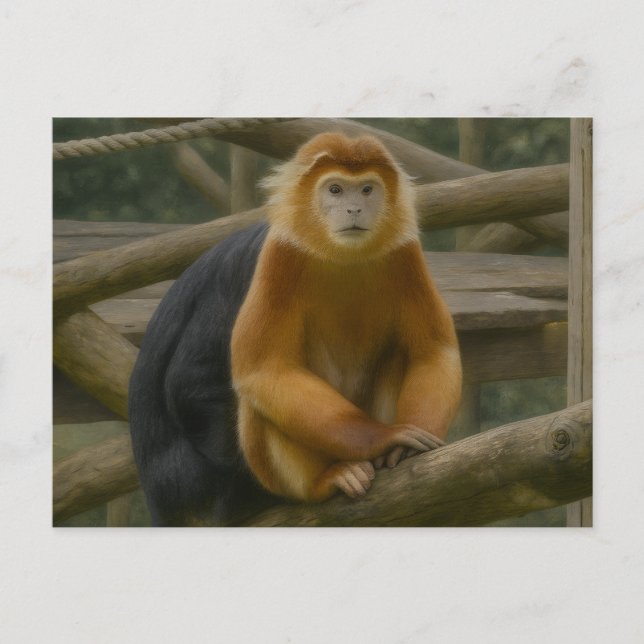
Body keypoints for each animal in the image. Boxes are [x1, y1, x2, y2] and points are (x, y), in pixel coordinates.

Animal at [128, 132, 461, 526]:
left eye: (367, 190)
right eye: (335, 190)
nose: (354, 209)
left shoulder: (404, 253)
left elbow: (433, 351)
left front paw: (405, 447)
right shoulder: (276, 258)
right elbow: (244, 374)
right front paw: (387, 437)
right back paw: (328, 478)